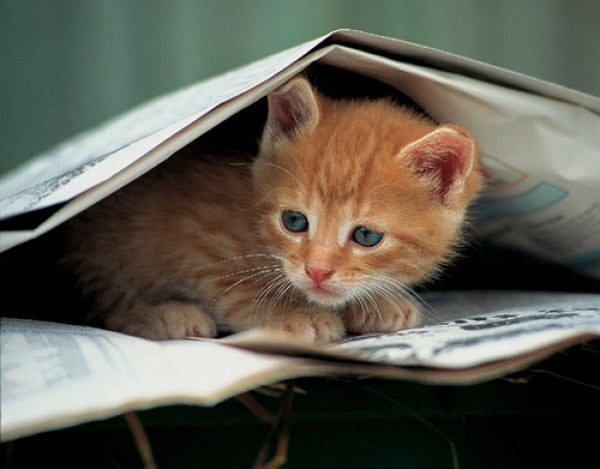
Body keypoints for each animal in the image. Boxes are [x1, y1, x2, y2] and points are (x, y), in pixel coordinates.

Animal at [62, 75, 482, 342]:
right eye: (294, 221)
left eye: (366, 236)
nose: (316, 271)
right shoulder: (194, 236)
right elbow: (236, 286)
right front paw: (294, 314)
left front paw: (376, 304)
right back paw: (167, 316)